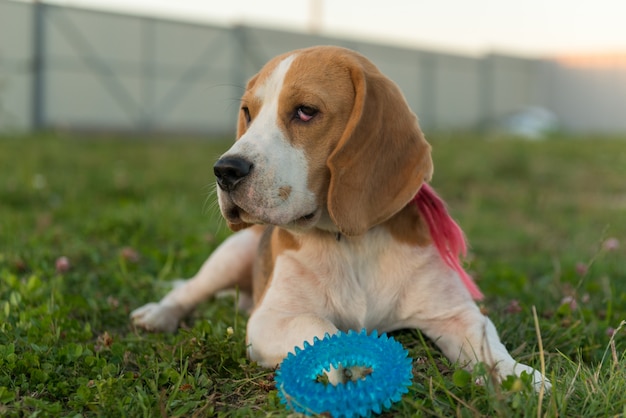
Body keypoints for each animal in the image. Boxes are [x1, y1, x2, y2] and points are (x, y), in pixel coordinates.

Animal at [130, 45, 544, 392]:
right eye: (248, 113)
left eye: (305, 111)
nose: (225, 170)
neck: (352, 242)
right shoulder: (269, 320)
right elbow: (320, 326)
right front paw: (347, 359)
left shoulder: (457, 314)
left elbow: (490, 347)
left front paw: (522, 377)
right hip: (231, 254)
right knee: (188, 290)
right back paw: (158, 315)